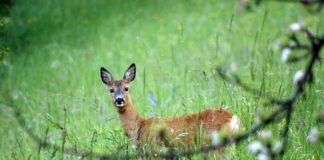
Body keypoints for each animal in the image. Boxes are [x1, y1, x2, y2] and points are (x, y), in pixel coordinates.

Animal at [100, 63, 242, 152]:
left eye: (126, 88)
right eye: (111, 90)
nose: (119, 100)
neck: (139, 127)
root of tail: (234, 119)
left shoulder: (155, 148)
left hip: (217, 144)